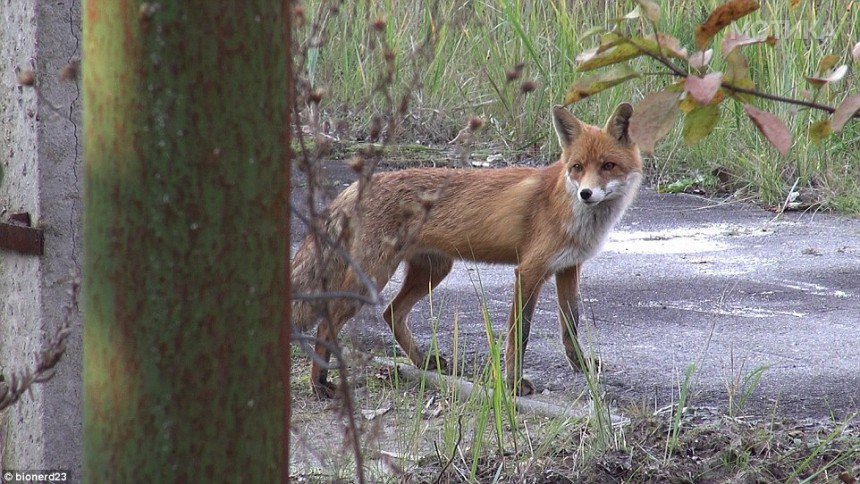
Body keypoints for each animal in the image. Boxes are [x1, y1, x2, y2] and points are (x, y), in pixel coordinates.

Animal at [292, 105, 640, 398]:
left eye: (608, 166)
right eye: (577, 167)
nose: (586, 194)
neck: (569, 209)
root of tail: (357, 185)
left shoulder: (568, 268)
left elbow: (571, 326)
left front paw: (581, 367)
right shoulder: (529, 271)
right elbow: (520, 335)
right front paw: (514, 384)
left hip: (432, 272)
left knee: (391, 313)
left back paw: (423, 362)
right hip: (373, 277)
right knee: (328, 321)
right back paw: (318, 383)